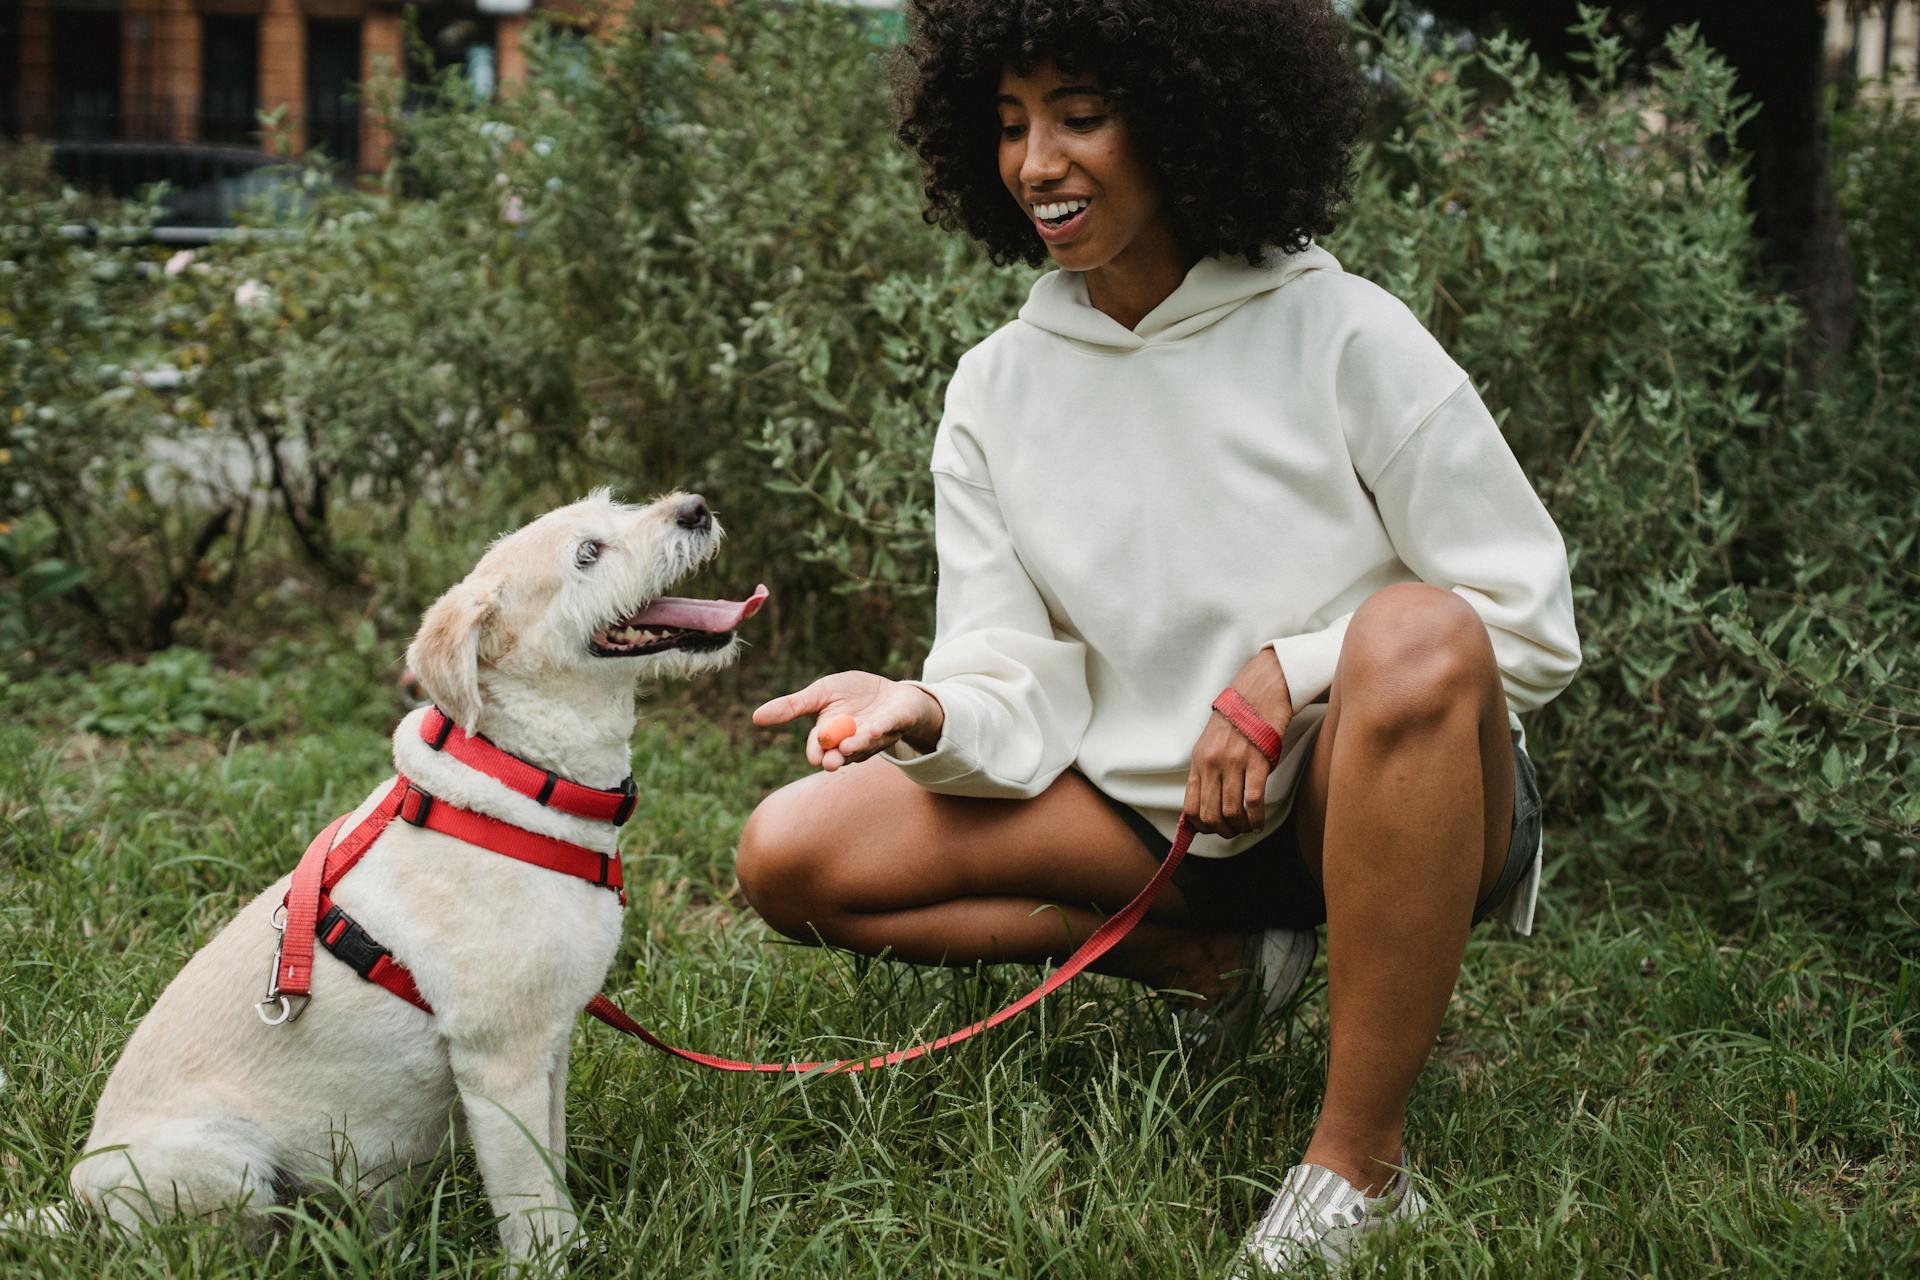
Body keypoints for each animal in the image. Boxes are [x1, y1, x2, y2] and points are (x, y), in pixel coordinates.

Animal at [33, 491, 756, 1258]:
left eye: (616, 505)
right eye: (588, 554)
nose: (695, 507)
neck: (525, 780)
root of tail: (75, 1208)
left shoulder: (550, 1046)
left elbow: (554, 1168)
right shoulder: (500, 1063)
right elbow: (532, 1204)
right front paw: (553, 1261)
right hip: (223, 1165)